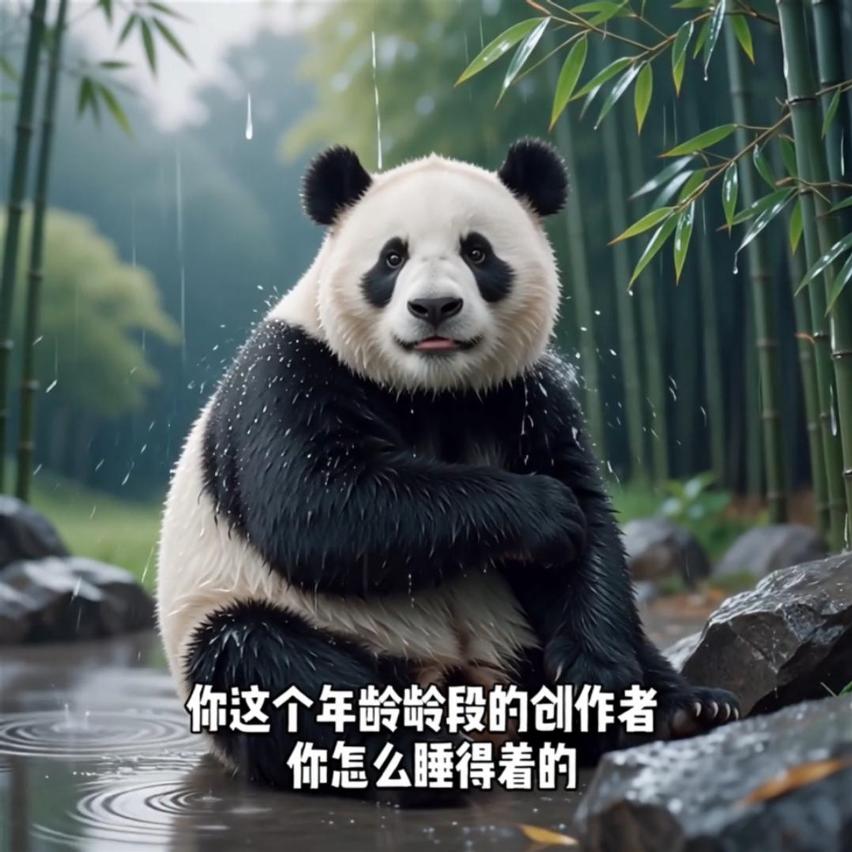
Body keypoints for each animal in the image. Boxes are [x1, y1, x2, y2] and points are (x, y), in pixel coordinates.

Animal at [157, 138, 738, 807]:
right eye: (392, 257)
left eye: (477, 251)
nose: (434, 307)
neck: (431, 390)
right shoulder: (293, 370)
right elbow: (316, 506)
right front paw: (544, 512)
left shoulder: (521, 393)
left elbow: (587, 526)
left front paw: (599, 678)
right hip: (268, 628)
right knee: (265, 661)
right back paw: (417, 757)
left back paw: (683, 711)